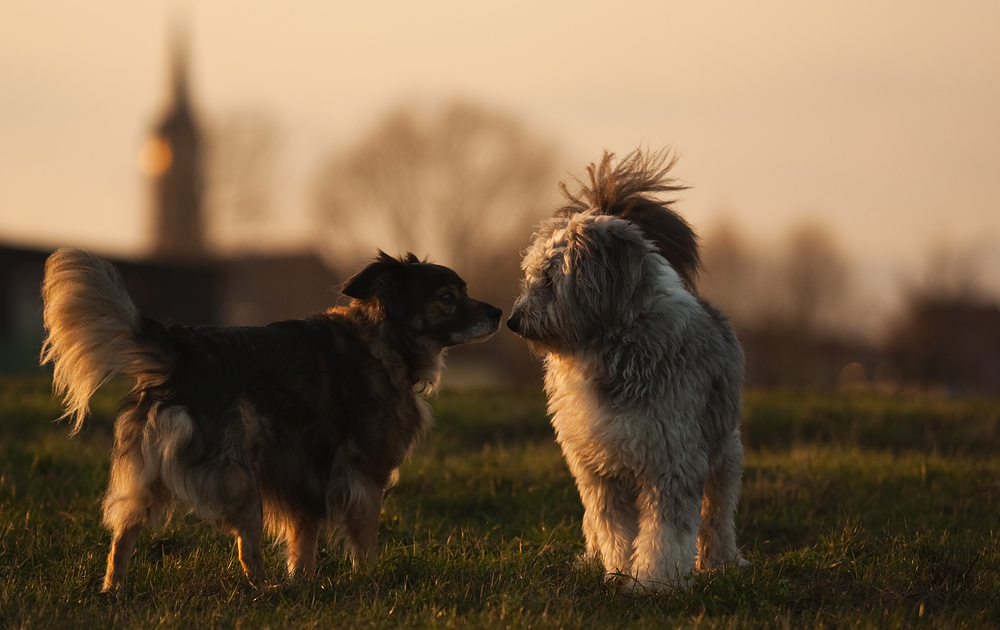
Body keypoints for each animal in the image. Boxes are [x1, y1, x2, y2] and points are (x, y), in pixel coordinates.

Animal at [512, 149, 748, 592]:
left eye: (550, 278)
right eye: (531, 275)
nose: (513, 321)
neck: (611, 348)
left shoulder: (673, 457)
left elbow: (665, 533)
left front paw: (654, 582)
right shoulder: (597, 467)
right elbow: (613, 528)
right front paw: (617, 570)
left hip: (725, 450)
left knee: (718, 512)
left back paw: (721, 560)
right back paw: (591, 560)